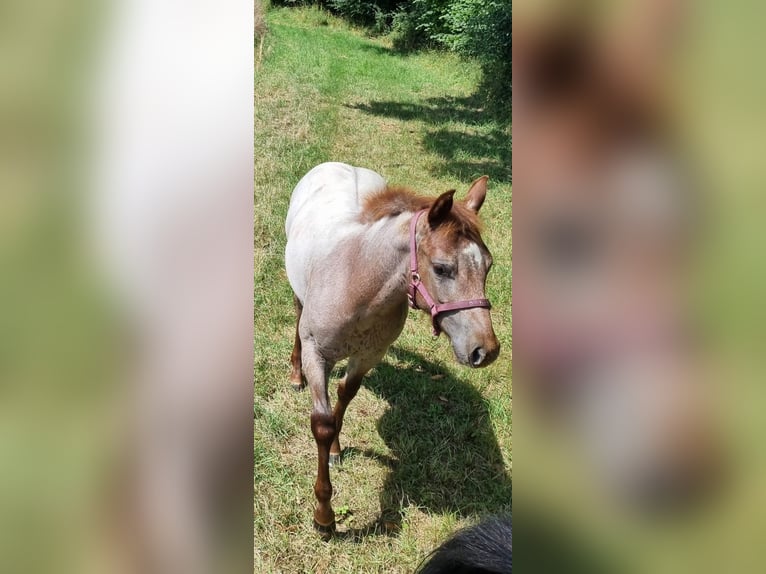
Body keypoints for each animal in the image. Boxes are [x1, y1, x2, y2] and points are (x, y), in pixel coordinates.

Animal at [284, 163, 500, 536]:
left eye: (488, 265)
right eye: (442, 268)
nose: (485, 350)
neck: (356, 280)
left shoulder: (369, 356)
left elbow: (344, 397)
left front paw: (336, 449)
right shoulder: (317, 354)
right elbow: (323, 424)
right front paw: (324, 517)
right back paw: (296, 375)